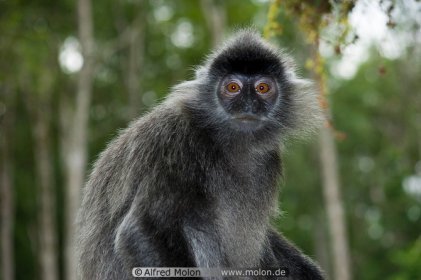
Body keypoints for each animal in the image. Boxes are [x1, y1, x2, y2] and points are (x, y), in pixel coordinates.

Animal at [75, 29, 324, 278]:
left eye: (263, 88)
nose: (248, 105)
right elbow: (139, 230)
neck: (225, 142)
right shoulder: (175, 143)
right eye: (232, 88)